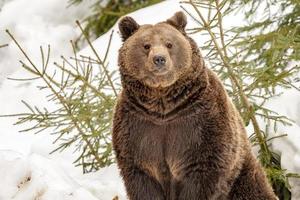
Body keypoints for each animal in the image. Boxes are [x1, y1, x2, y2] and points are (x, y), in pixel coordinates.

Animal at [112, 11, 276, 200]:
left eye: (169, 44)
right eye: (146, 45)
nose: (159, 59)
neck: (163, 105)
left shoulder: (201, 123)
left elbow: (204, 169)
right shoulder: (136, 129)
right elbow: (141, 177)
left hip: (242, 174)